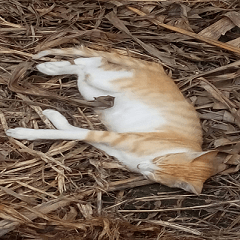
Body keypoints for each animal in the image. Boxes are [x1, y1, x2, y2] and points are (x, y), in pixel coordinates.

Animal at [6, 46, 227, 195]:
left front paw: (52, 119)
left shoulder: (113, 146)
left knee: (86, 70)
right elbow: (73, 132)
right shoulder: (117, 138)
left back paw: (51, 67)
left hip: (93, 93)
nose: (141, 167)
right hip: (109, 82)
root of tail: (156, 67)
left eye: (155, 173)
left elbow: (72, 132)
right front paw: (23, 132)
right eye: (160, 160)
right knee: (91, 63)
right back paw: (50, 66)